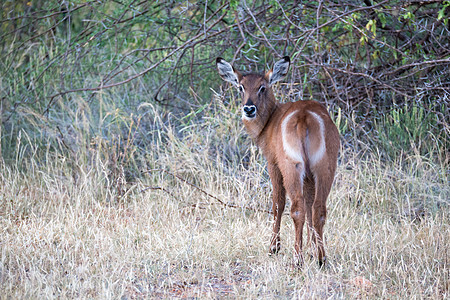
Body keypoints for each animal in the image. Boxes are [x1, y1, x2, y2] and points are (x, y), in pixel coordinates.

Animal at [216, 56, 340, 264]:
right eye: (241, 87)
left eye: (262, 87)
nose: (248, 109)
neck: (270, 120)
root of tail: (304, 116)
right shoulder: (308, 176)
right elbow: (309, 205)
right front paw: (311, 249)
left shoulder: (272, 164)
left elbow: (277, 204)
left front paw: (274, 247)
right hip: (324, 168)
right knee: (318, 209)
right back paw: (321, 258)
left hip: (291, 167)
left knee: (296, 208)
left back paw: (297, 259)